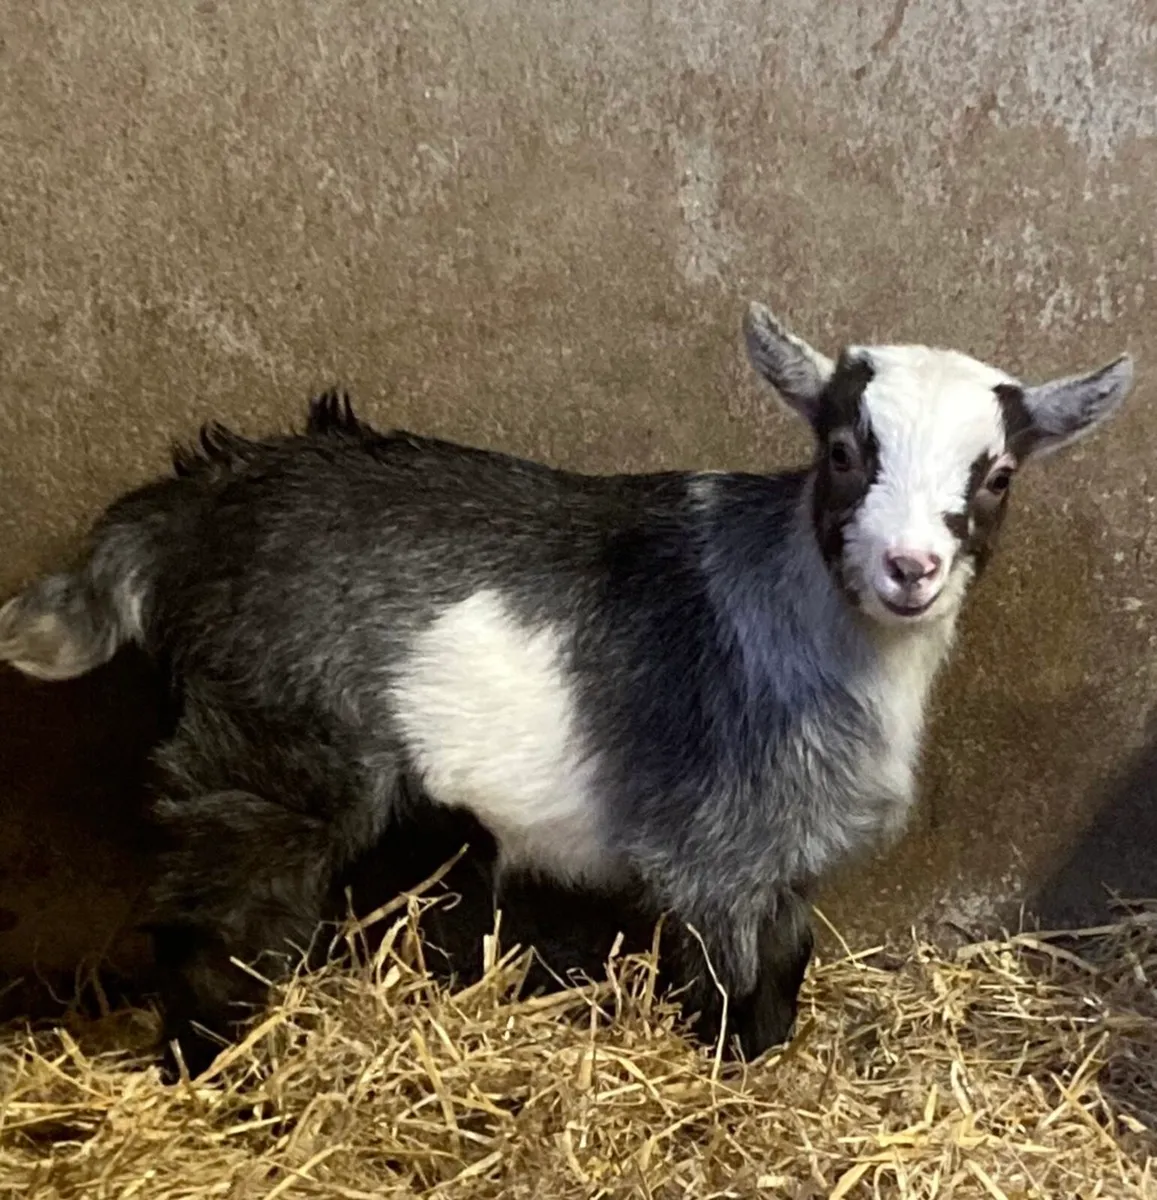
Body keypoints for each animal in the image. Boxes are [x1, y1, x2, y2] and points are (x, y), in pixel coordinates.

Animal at [0, 302, 1134, 1074]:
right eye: (846, 452)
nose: (910, 568)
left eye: (995, 476)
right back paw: (224, 1073)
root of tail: (194, 503)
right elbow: (734, 991)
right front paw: (733, 1088)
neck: (793, 608)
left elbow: (790, 962)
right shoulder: (715, 851)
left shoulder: (782, 858)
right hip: (270, 745)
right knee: (213, 920)